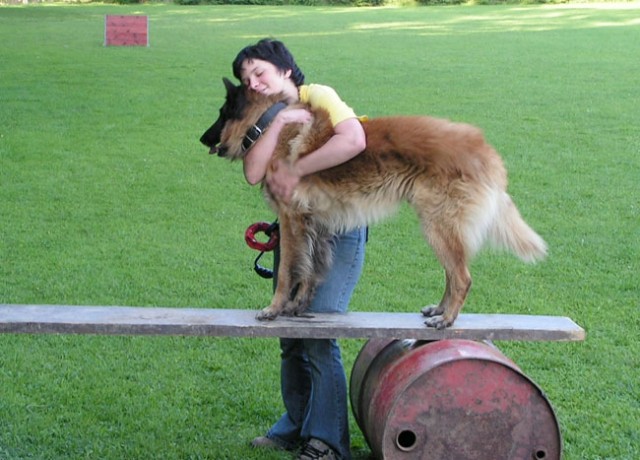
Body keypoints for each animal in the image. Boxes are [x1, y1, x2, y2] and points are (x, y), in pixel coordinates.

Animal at [200, 80, 544, 330]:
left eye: (220, 112)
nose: (202, 139)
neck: (271, 125)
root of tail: (484, 149)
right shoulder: (315, 224)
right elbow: (311, 268)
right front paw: (298, 306)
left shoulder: (291, 220)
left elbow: (288, 270)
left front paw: (274, 308)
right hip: (439, 228)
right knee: (452, 274)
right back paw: (439, 310)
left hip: (438, 227)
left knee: (462, 277)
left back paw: (446, 319)